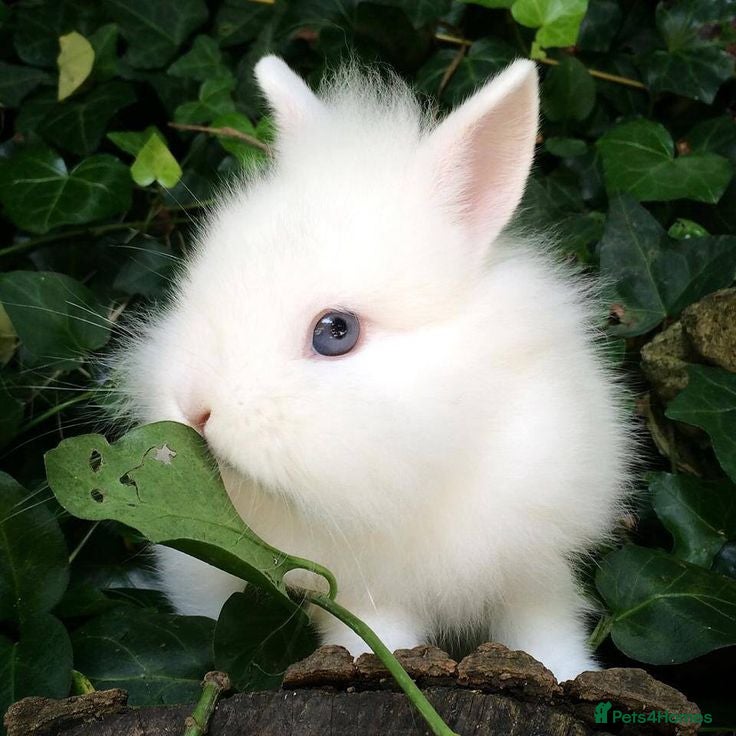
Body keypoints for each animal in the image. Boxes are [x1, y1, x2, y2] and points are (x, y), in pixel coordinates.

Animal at [112, 55, 633, 683]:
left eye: (336, 332)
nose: (195, 407)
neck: (428, 469)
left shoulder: (535, 563)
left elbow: (544, 625)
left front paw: (568, 673)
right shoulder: (361, 592)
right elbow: (376, 635)